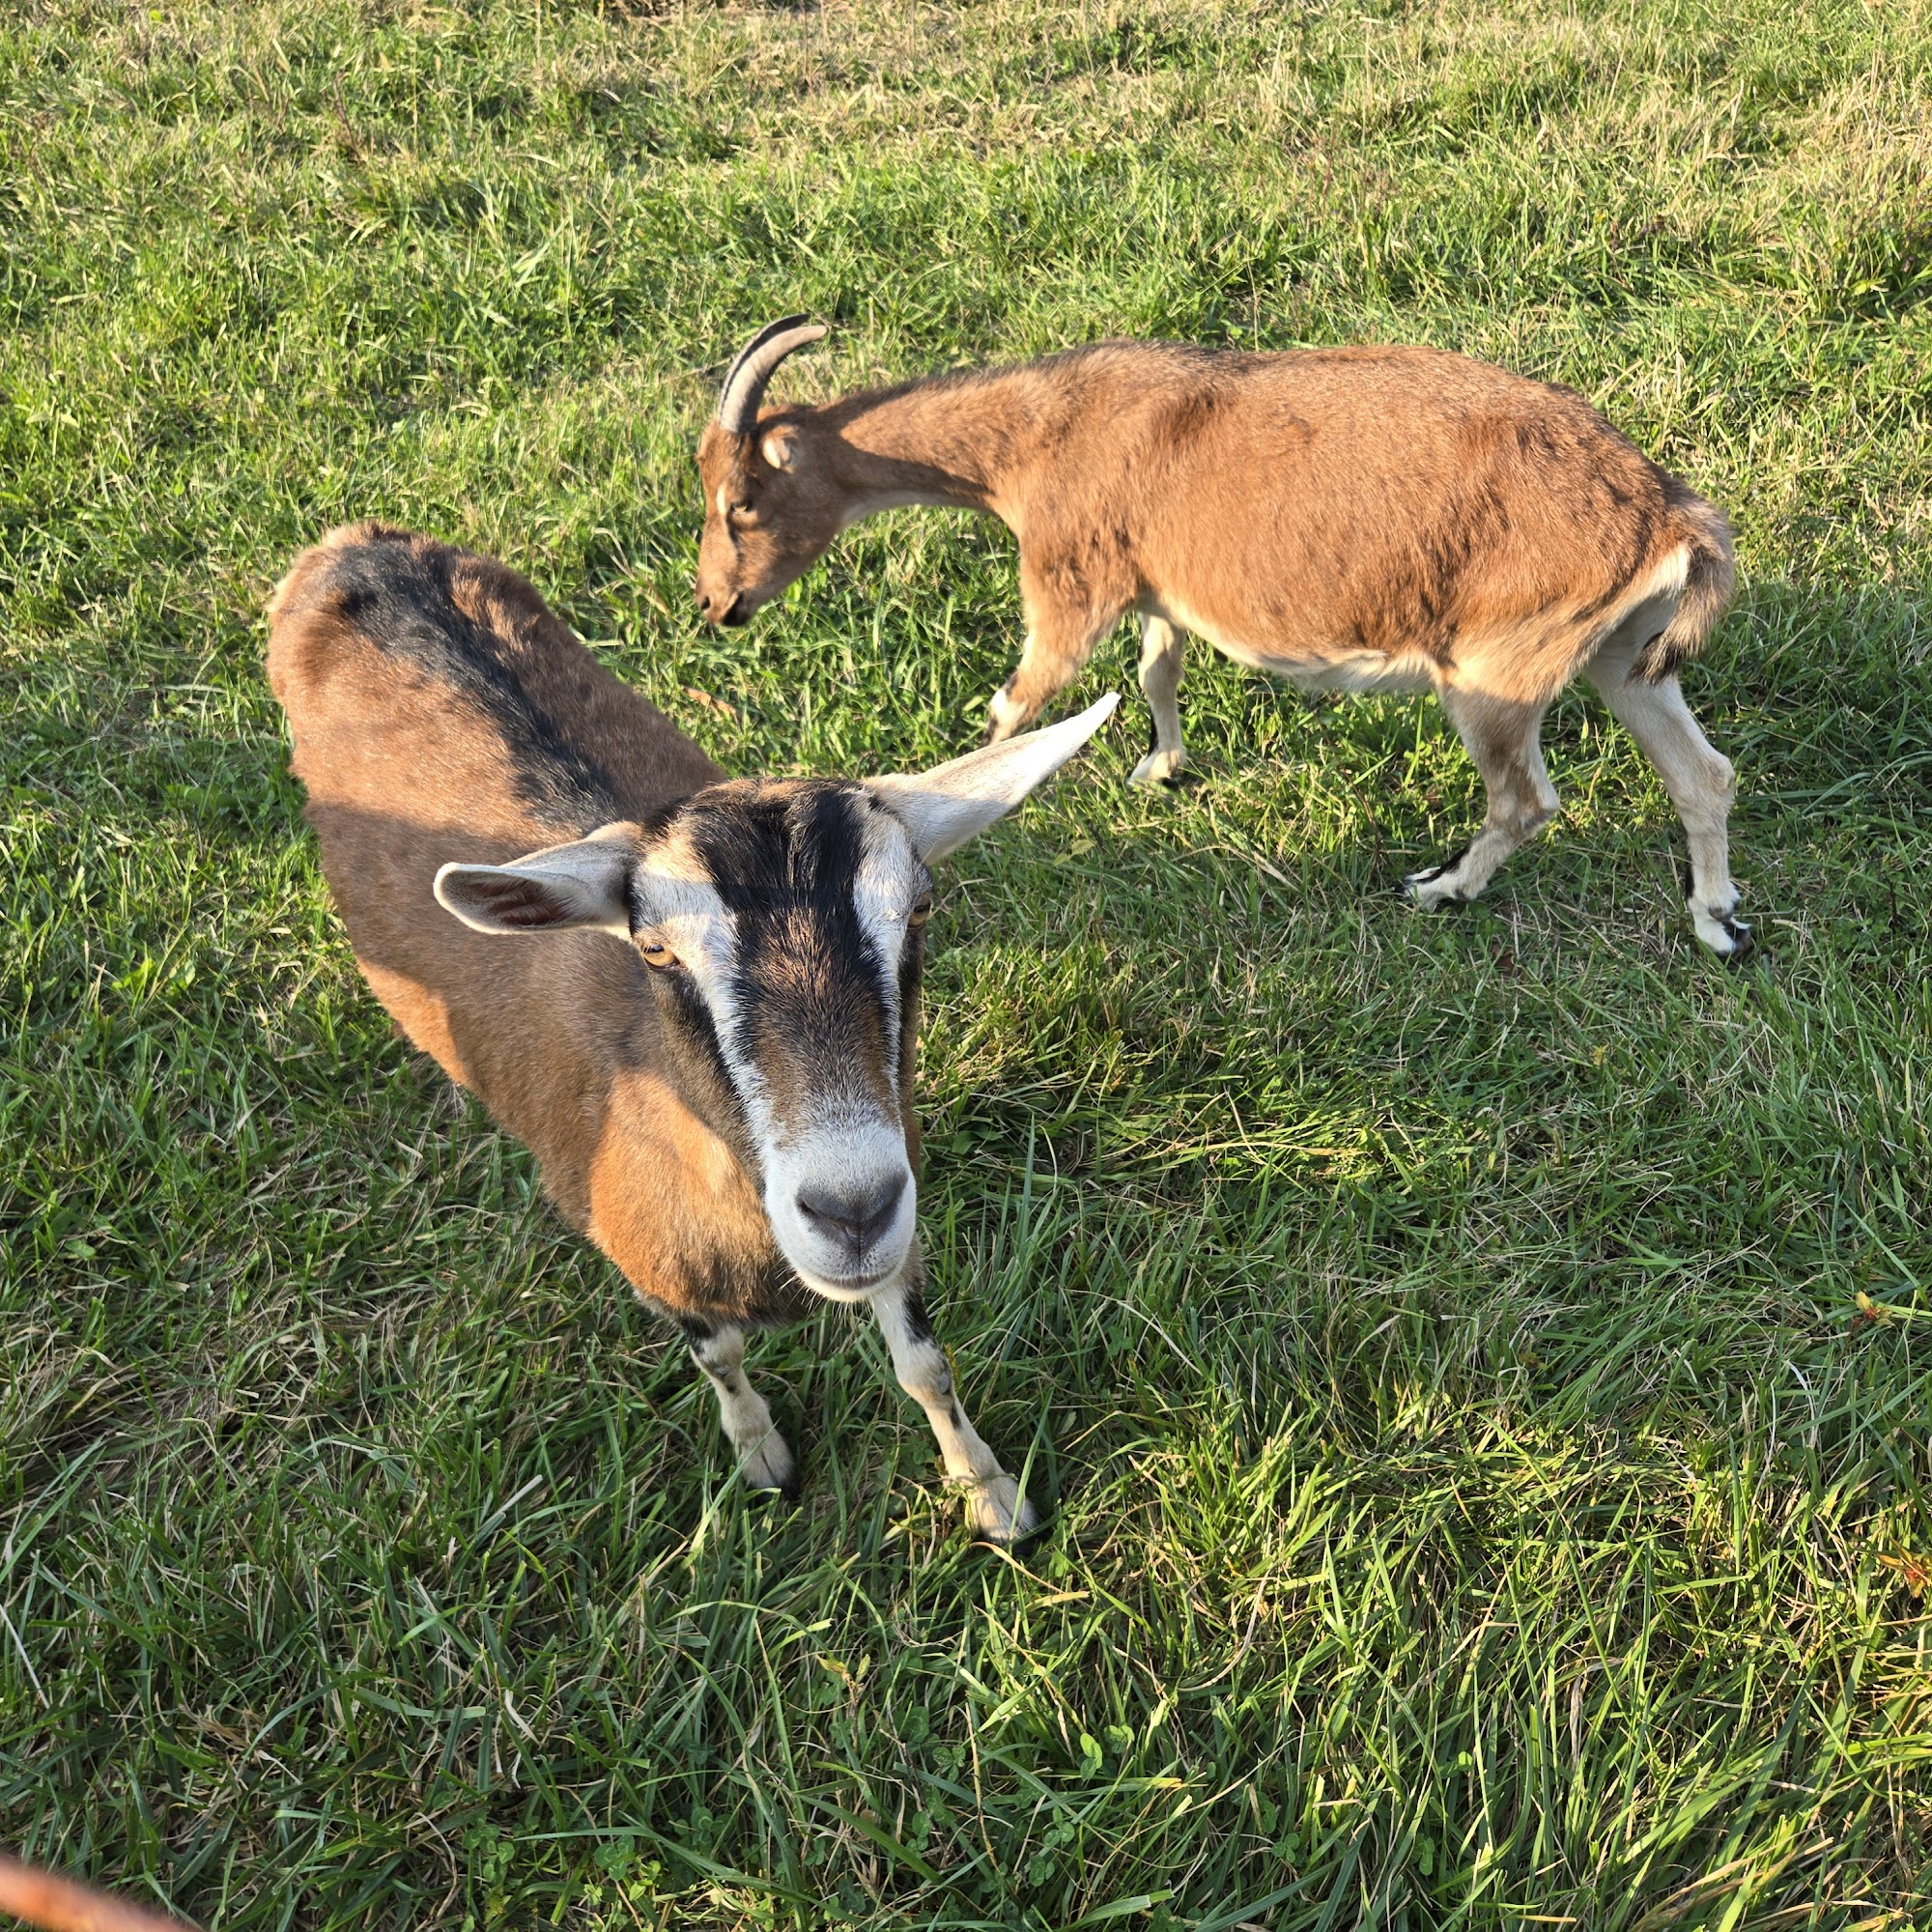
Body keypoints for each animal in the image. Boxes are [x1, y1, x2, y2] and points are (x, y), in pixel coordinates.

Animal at [267, 522, 1118, 1542]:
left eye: (917, 907)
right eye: (655, 949)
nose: (850, 1212)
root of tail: (353, 545)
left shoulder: (901, 1231)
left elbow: (925, 1365)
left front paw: (989, 1493)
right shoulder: (656, 1272)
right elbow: (720, 1361)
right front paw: (762, 1458)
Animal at [694, 320, 1747, 954]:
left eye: (739, 499)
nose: (715, 604)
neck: (1041, 436)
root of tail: (1667, 514)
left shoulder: (1068, 583)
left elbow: (1018, 701)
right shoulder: (1157, 589)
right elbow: (1157, 672)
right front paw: (1161, 770)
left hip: (1496, 669)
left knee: (1527, 801)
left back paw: (1439, 887)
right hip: (1624, 652)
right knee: (1702, 773)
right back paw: (1715, 920)